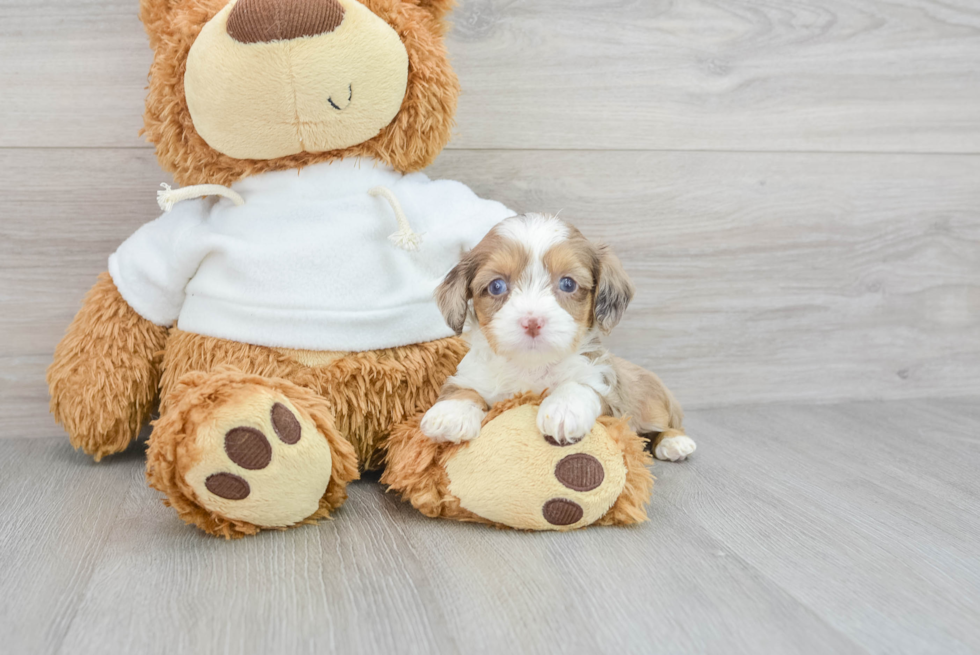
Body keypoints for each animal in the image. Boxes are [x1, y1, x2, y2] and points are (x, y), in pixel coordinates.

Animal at [422, 214, 696, 462]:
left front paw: (564, 409)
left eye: (568, 284)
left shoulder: (609, 399)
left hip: (659, 404)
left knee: (668, 425)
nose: (532, 322)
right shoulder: (473, 375)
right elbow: (463, 389)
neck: (530, 366)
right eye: (496, 286)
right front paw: (449, 414)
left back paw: (674, 442)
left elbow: (580, 386)